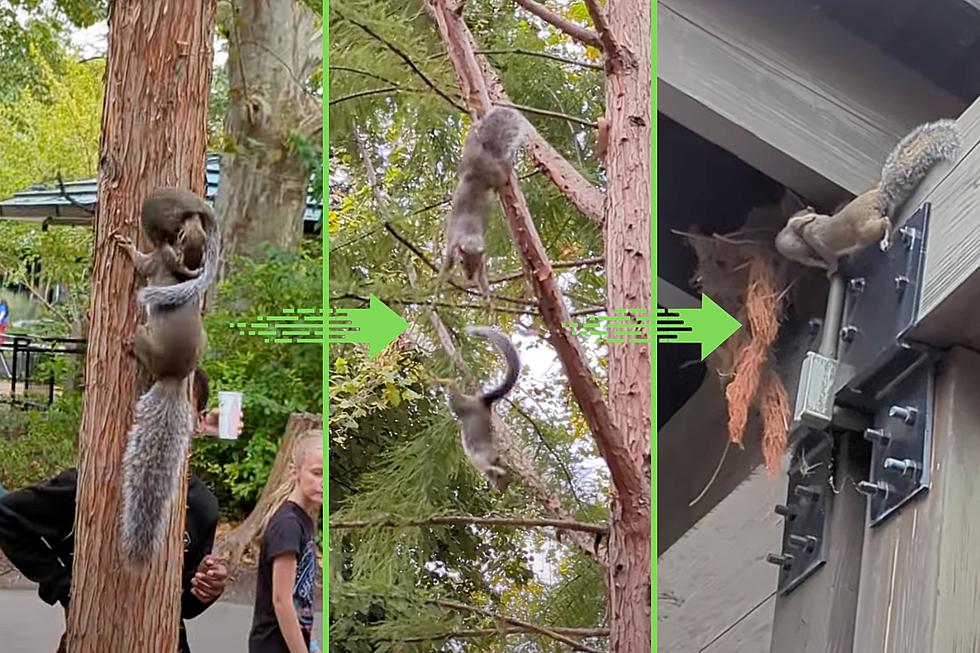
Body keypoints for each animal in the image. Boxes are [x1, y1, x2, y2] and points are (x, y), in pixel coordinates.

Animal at [432, 108, 528, 306]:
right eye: (461, 262)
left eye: (475, 263)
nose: (469, 277)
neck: (469, 236)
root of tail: (480, 171)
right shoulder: (452, 250)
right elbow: (445, 271)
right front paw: (435, 296)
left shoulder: (482, 260)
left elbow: (483, 279)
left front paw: (487, 300)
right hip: (473, 154)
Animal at [442, 326, 524, 488]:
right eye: (500, 477)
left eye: (507, 482)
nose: (500, 490)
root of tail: (484, 402)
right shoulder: (482, 460)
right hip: (460, 406)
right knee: (452, 387)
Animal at [776, 118, 960, 274]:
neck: (806, 229)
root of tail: (880, 194)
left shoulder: (818, 243)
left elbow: (830, 260)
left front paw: (830, 271)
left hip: (865, 231)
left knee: (884, 223)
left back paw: (884, 241)